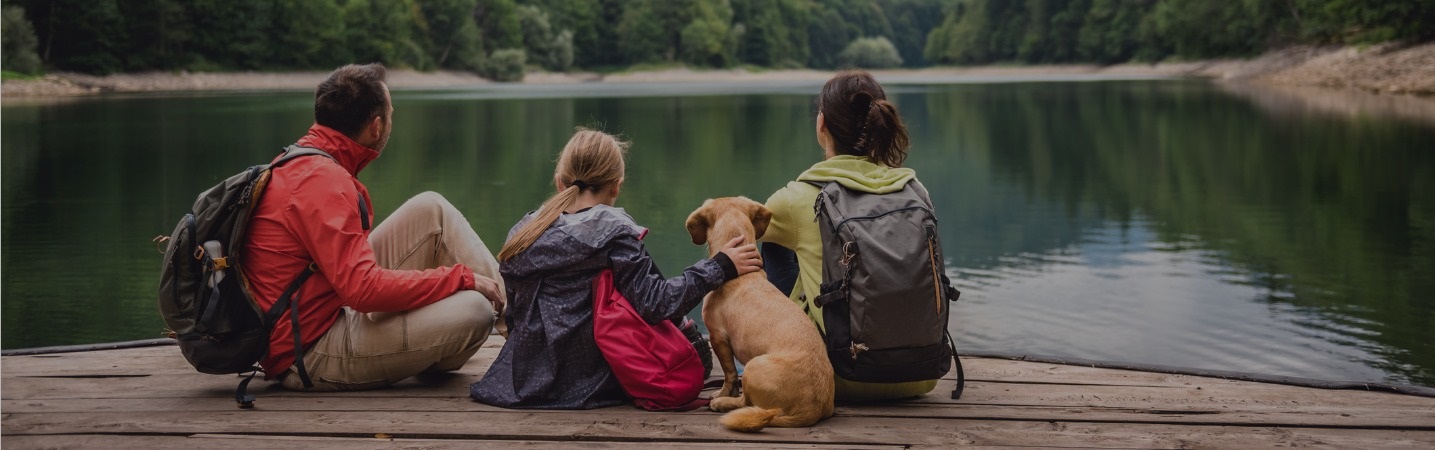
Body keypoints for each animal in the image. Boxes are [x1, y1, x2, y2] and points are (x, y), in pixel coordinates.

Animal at [685, 196, 838, 432]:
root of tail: (810, 410)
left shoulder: (718, 337)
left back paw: (721, 403)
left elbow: (729, 374)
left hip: (752, 366)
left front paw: (721, 394)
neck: (742, 274)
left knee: (746, 402)